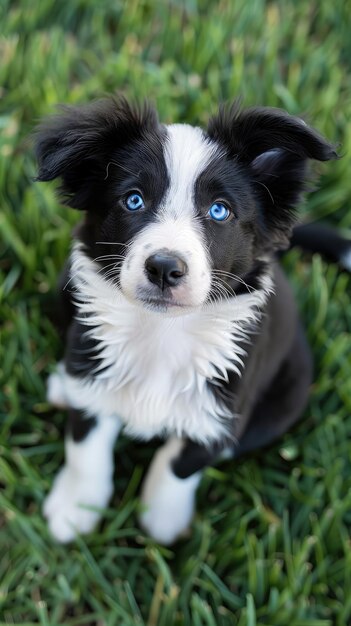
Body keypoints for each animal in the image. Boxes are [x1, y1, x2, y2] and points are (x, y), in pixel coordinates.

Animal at [35, 97, 350, 540]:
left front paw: (162, 520)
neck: (162, 333)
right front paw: (75, 509)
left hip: (289, 396)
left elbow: (180, 462)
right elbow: (86, 447)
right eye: (133, 200)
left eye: (219, 210)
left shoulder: (224, 404)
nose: (165, 268)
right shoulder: (93, 367)